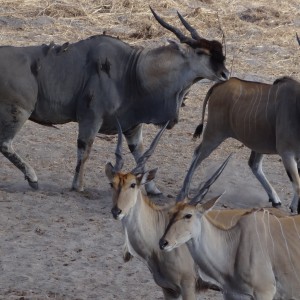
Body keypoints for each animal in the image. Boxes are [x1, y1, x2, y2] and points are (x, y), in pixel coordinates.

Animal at [0, 9, 227, 193]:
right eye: (201, 52)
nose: (225, 74)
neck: (132, 71)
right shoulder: (91, 117)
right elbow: (85, 148)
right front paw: (78, 185)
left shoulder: (132, 127)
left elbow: (141, 155)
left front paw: (152, 188)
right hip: (19, 112)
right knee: (5, 144)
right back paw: (33, 178)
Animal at [177, 77, 300, 213]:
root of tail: (222, 83)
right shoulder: (287, 154)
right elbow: (297, 184)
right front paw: (294, 207)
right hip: (214, 135)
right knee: (198, 155)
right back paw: (184, 192)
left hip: (258, 144)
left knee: (254, 164)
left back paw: (275, 199)